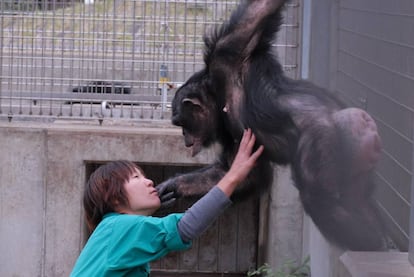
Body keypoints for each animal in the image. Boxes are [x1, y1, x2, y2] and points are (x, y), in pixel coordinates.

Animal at [156, 0, 388, 250]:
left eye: (180, 122)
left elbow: (258, 11)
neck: (219, 97)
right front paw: (172, 186)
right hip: (357, 161)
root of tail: (364, 123)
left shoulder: (227, 51)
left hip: (323, 137)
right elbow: (235, 174)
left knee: (319, 197)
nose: (184, 137)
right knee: (357, 195)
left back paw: (367, 239)